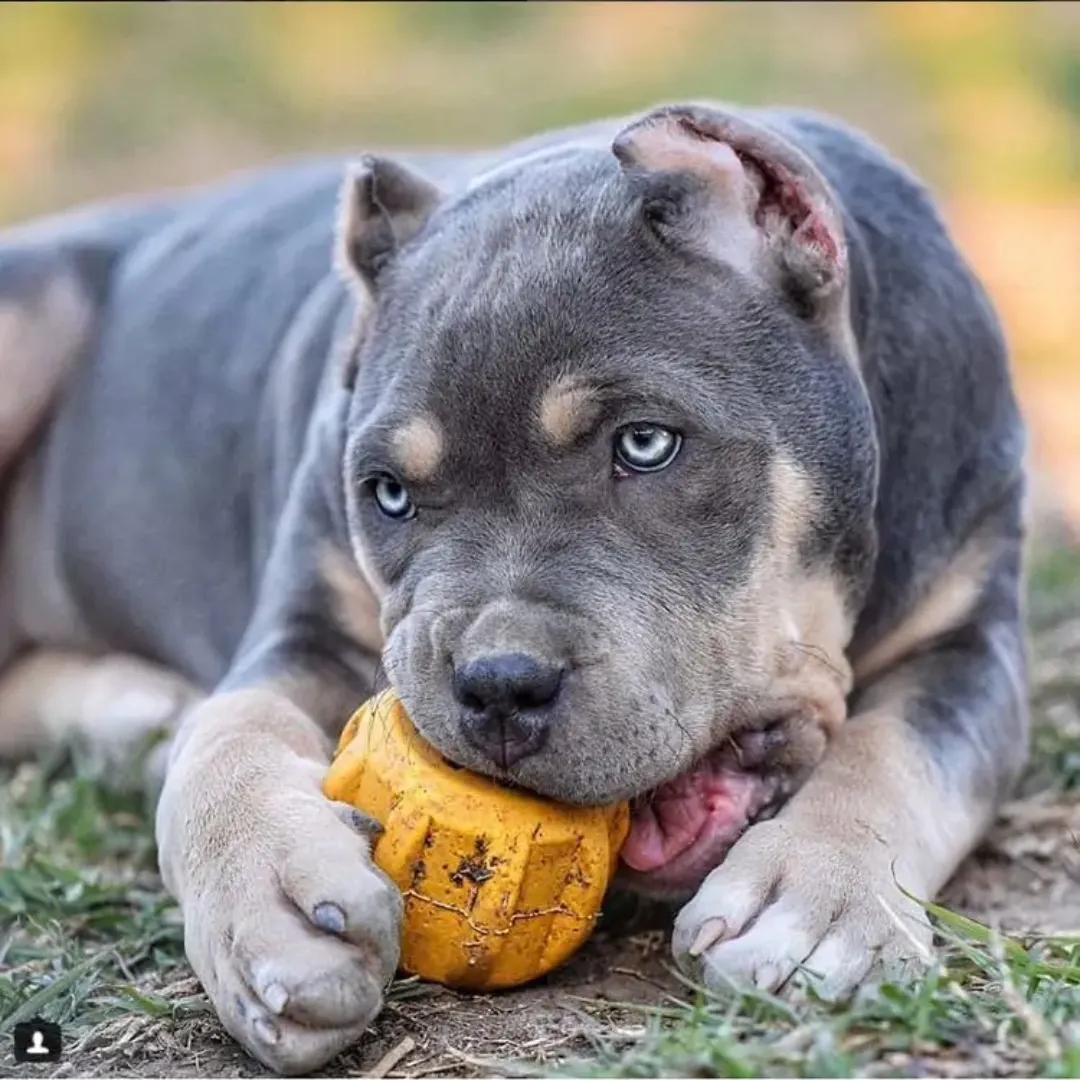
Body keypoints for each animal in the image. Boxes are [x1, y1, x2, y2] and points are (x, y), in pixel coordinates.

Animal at [0, 101, 1028, 1071]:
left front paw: (817, 901)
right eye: (389, 493)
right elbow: (233, 727)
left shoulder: (971, 637)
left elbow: (895, 749)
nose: (497, 686)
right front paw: (272, 902)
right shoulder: (305, 629)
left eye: (644, 444)